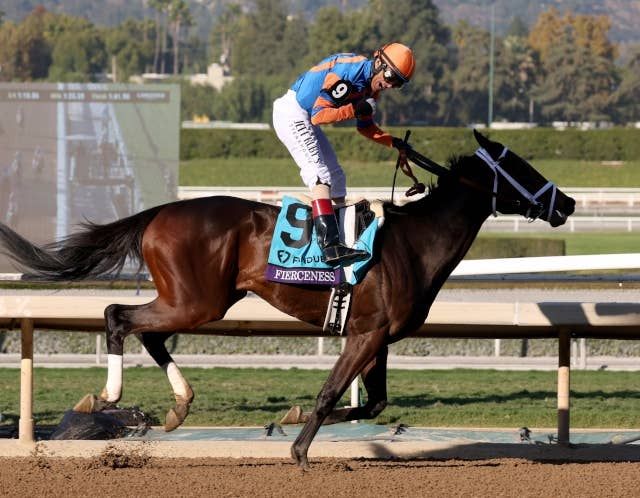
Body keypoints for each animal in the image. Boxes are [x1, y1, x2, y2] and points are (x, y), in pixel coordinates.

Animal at [0, 130, 576, 468]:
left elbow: (374, 403)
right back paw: (111, 395)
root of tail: (160, 211)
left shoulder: (377, 335)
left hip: (196, 300)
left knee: (149, 332)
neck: (415, 240)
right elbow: (330, 394)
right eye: (522, 167)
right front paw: (299, 449)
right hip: (198, 301)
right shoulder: (366, 334)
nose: (567, 203)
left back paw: (179, 406)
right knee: (117, 315)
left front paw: (294, 418)